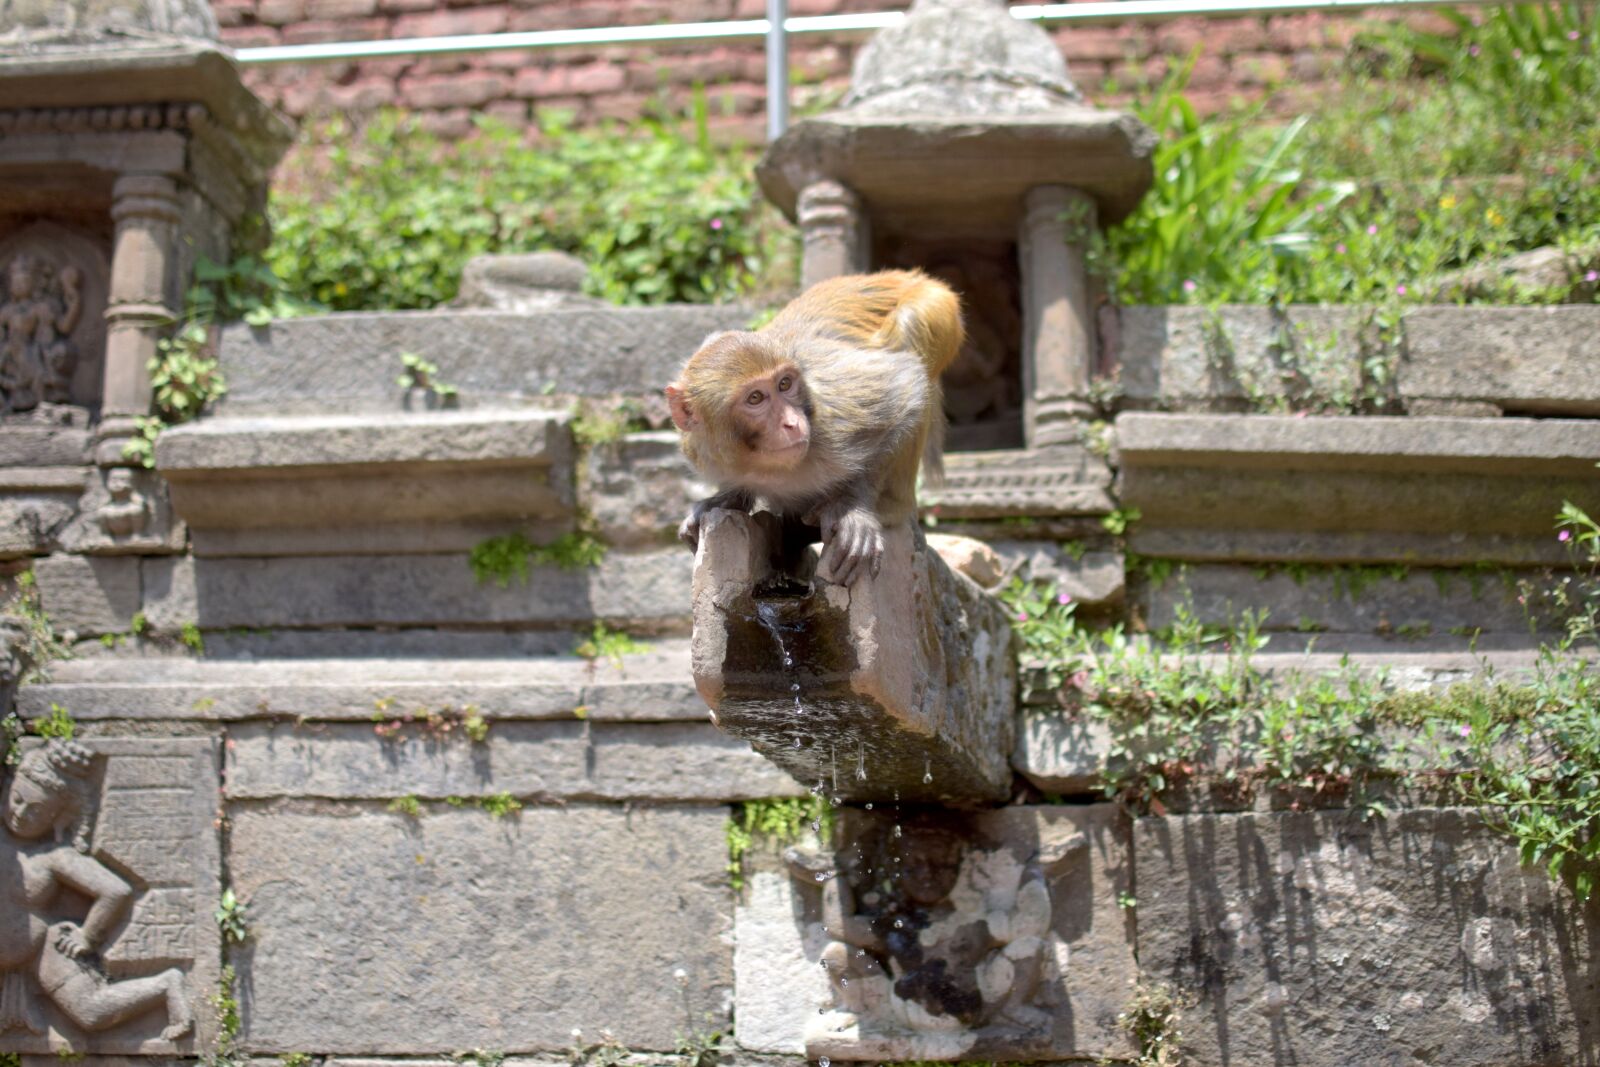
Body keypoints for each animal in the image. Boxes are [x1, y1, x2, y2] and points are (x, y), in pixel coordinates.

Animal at [664, 270, 963, 586]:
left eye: (784, 384)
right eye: (755, 398)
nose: (793, 423)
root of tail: (904, 276)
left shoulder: (835, 421)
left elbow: (906, 386)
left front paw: (851, 506)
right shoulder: (697, 446)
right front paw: (724, 499)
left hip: (939, 309)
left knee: (910, 327)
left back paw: (892, 506)